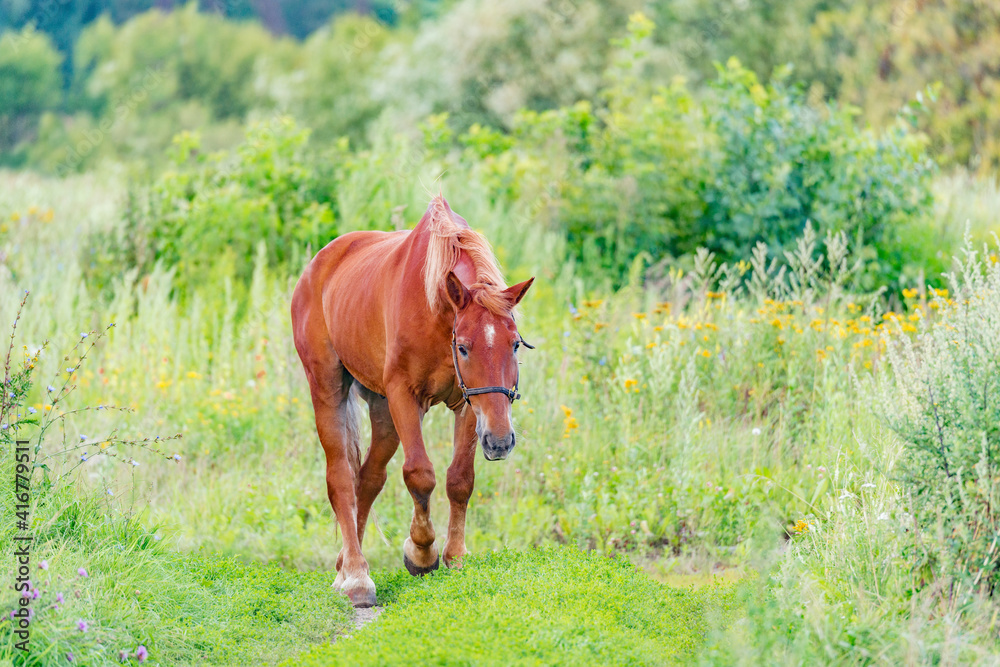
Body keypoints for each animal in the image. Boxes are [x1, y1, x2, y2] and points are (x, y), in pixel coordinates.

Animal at [290, 195, 534, 607]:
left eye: (514, 344)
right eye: (463, 347)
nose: (501, 441)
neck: (435, 311)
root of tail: (317, 265)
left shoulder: (469, 405)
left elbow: (459, 480)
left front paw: (455, 556)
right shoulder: (404, 395)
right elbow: (419, 474)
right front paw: (421, 552)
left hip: (383, 411)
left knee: (368, 479)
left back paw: (343, 568)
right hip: (328, 389)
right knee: (341, 478)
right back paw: (356, 576)